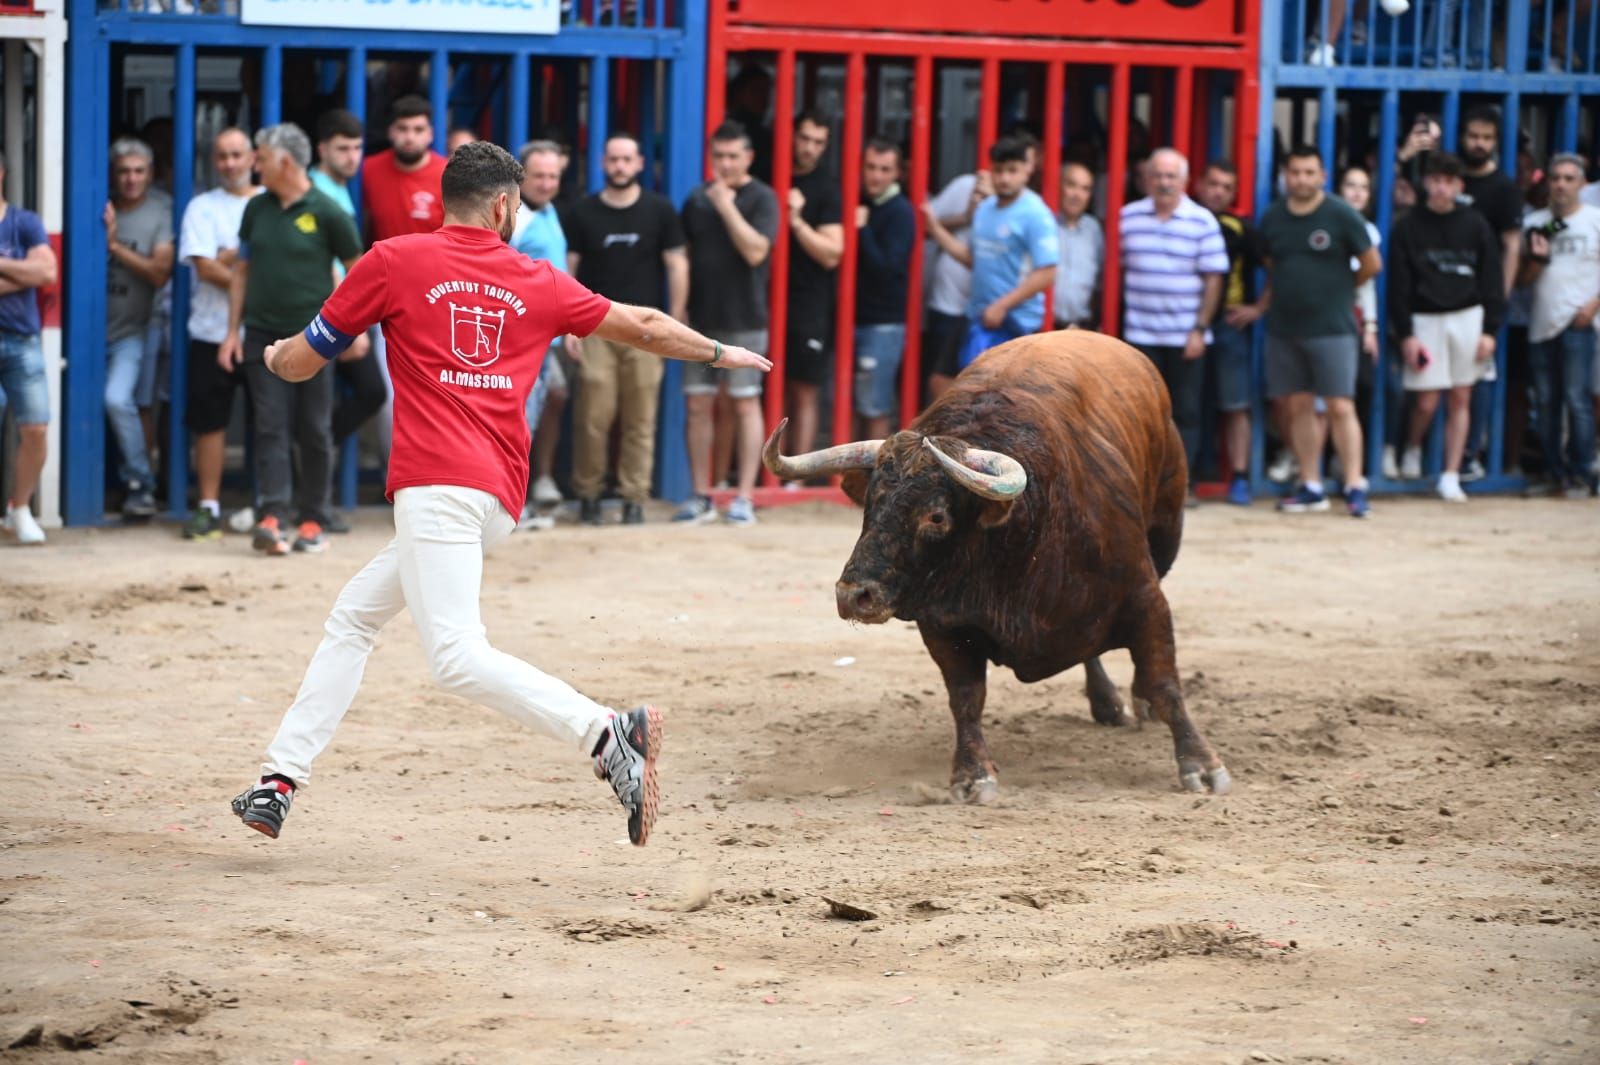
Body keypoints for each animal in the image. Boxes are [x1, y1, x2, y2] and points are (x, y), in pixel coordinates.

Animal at [758, 327, 1222, 799]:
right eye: (871, 502)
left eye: (936, 516)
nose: (854, 595)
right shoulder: (943, 624)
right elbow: (966, 698)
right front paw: (971, 774)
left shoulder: (1145, 597)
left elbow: (1166, 683)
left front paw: (1201, 765)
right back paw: (1105, 702)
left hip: (1166, 534)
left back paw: (1136, 702)